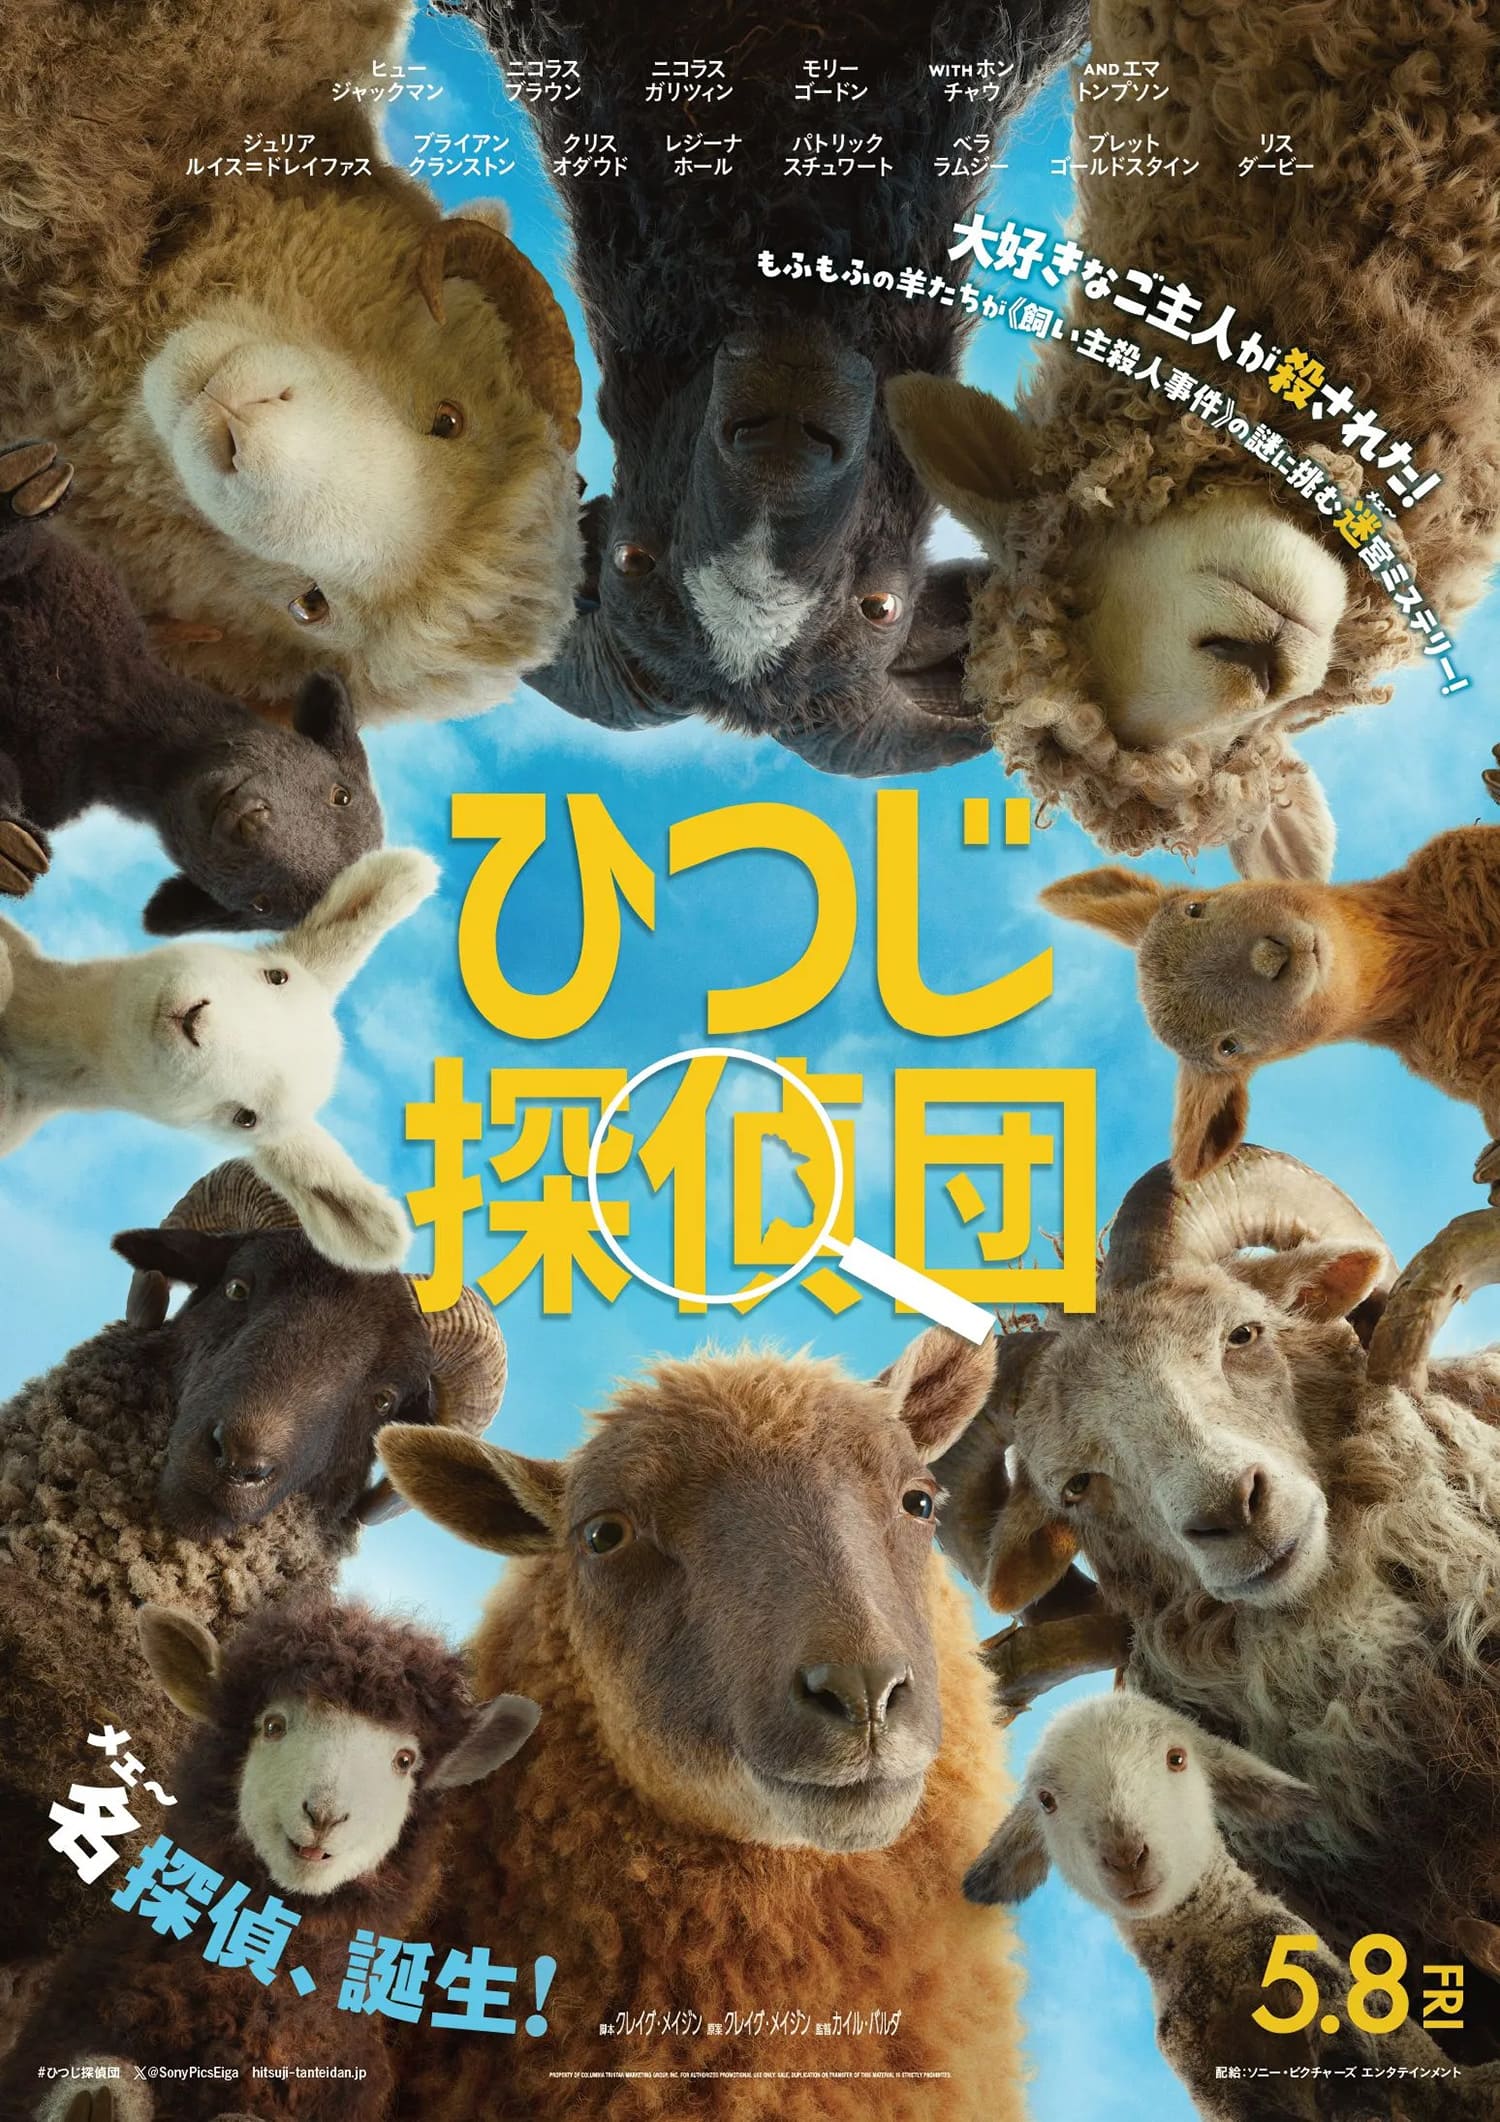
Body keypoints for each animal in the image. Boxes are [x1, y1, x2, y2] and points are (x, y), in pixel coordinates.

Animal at [0, 440, 382, 933]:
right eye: (341, 794)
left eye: (261, 905)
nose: (247, 823)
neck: (106, 711)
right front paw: (17, 490)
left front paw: (5, 844)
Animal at [967, 1694, 1500, 2121]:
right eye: (1046, 1801)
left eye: (1177, 1758)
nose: (1126, 1857)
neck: (1215, 1952)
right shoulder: (1208, 2076)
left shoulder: (1318, 1979)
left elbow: (1353, 2076)